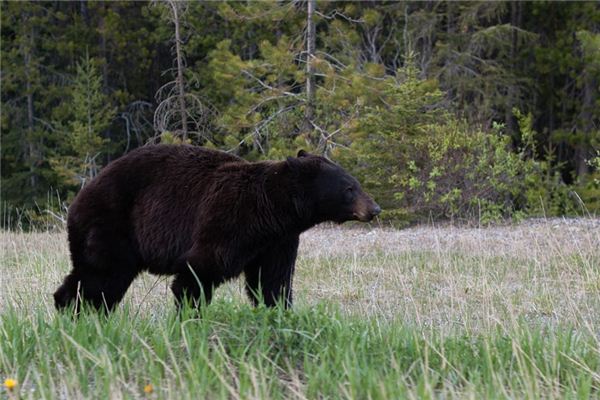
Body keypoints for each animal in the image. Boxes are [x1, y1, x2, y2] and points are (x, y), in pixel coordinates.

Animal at [52, 145, 380, 310]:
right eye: (349, 188)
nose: (374, 208)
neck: (271, 211)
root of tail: (79, 197)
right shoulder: (228, 220)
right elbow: (198, 271)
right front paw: (190, 316)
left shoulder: (279, 241)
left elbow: (272, 281)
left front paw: (279, 313)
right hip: (111, 224)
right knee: (100, 275)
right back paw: (74, 311)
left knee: (101, 280)